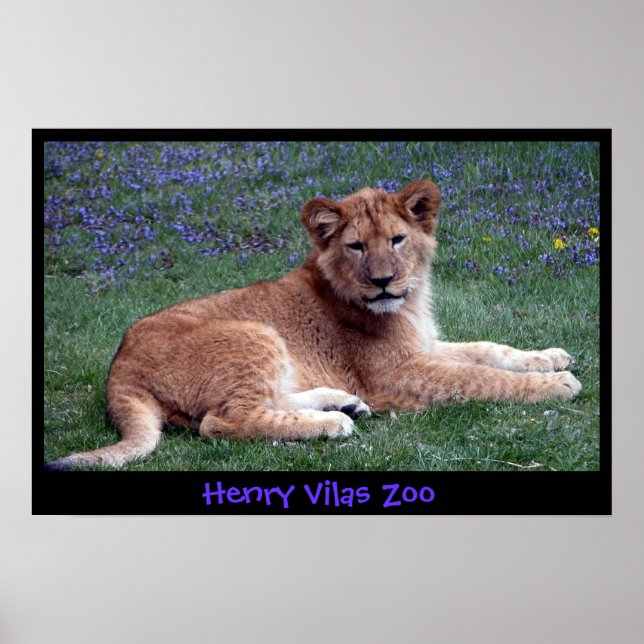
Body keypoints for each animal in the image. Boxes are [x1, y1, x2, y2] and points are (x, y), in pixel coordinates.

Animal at [46, 179, 581, 470]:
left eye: (397, 239)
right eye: (356, 246)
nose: (383, 282)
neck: (408, 303)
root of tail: (119, 368)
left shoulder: (426, 347)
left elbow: (490, 349)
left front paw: (550, 357)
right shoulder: (396, 374)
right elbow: (479, 377)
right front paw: (557, 384)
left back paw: (341, 402)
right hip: (257, 333)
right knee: (222, 421)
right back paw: (333, 423)